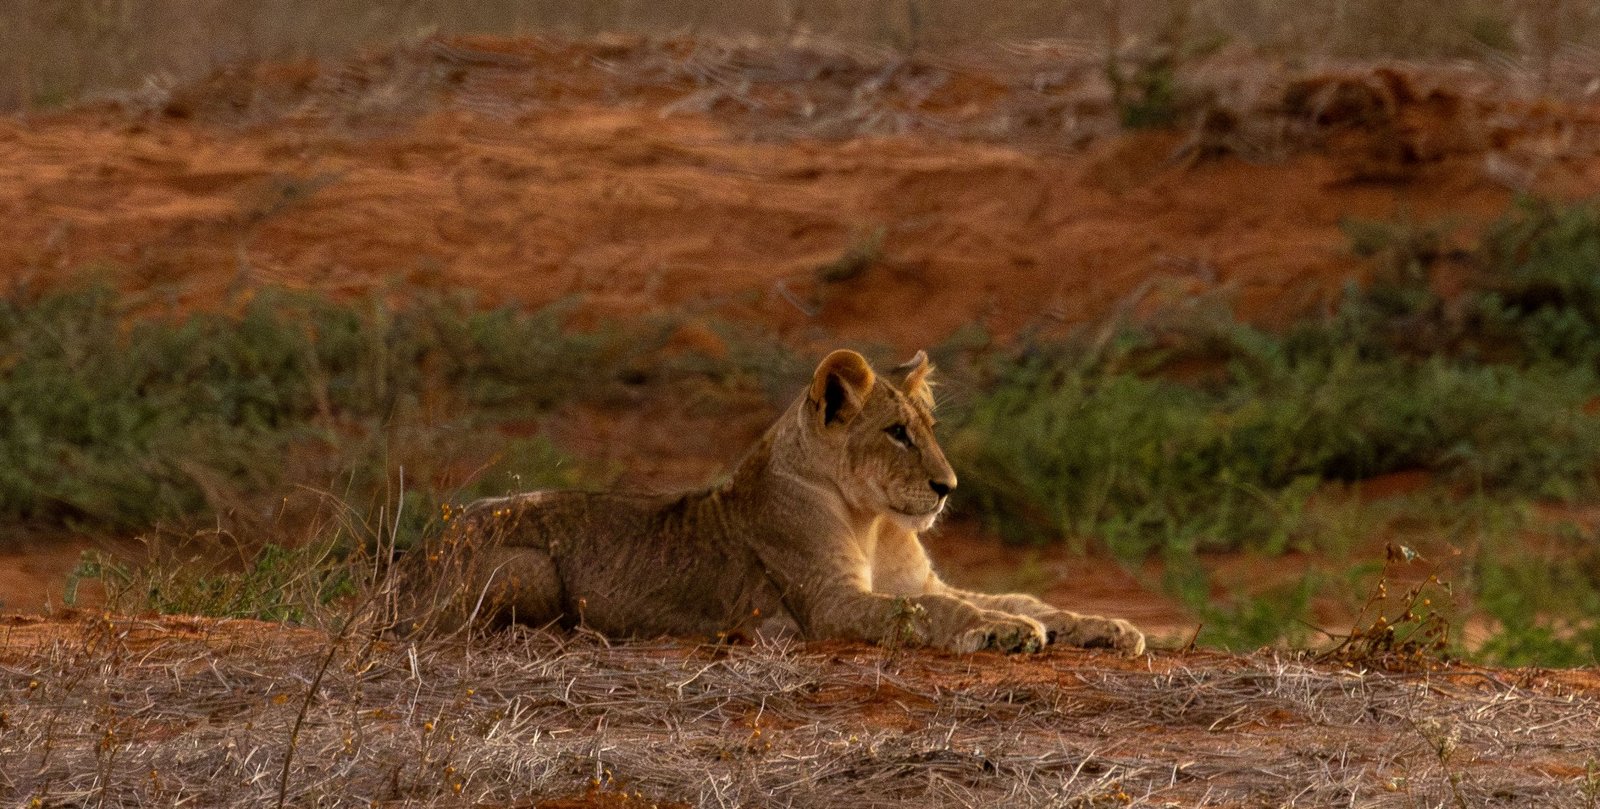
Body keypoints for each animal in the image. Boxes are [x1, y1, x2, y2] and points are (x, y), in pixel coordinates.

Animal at [406, 349, 1144, 655]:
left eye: (928, 427)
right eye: (896, 433)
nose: (948, 488)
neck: (874, 521)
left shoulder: (912, 576)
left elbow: (1022, 597)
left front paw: (1107, 626)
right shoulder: (827, 603)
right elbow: (934, 611)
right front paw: (1006, 633)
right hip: (523, 567)